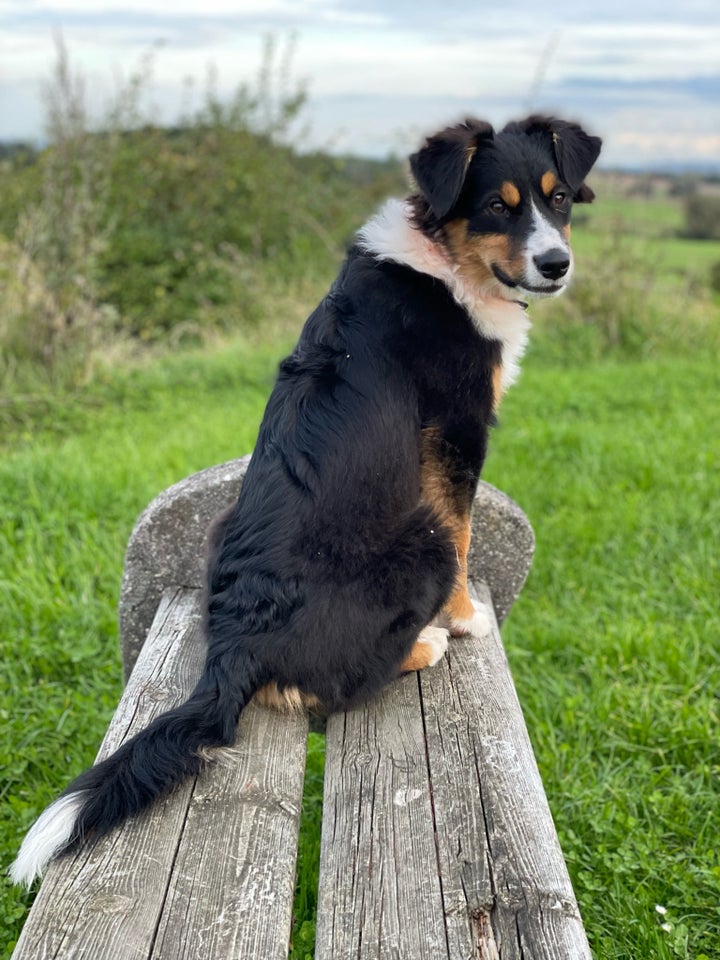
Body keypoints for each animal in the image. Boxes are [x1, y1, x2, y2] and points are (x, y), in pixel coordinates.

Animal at [11, 112, 600, 884]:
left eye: (558, 198)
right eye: (497, 207)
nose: (557, 263)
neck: (446, 258)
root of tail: (235, 646)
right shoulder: (457, 434)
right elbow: (467, 530)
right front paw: (469, 618)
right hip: (418, 544)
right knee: (340, 678)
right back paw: (428, 639)